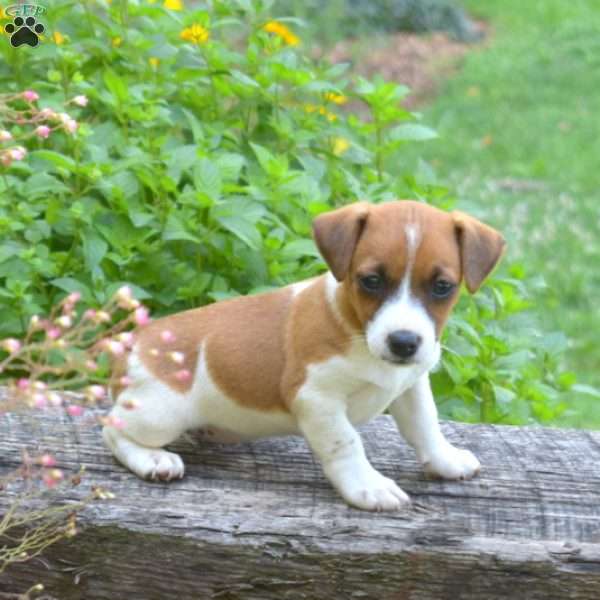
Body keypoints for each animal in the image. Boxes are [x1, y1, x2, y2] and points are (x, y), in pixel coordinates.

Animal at [104, 200, 506, 510]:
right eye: (371, 281)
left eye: (442, 287)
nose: (404, 342)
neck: (356, 330)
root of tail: (134, 343)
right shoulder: (317, 399)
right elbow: (347, 443)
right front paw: (368, 486)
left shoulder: (411, 385)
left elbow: (426, 424)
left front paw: (445, 460)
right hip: (159, 415)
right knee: (112, 429)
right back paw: (154, 458)